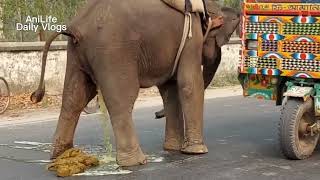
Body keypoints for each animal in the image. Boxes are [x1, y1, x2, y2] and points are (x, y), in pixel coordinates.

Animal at [30, 0, 240, 167]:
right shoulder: (191, 36)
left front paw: (172, 148)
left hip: (76, 53)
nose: (156, 114)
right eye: (224, 39)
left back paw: (61, 155)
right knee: (122, 99)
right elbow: (189, 84)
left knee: (74, 98)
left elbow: (170, 88)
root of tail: (76, 25)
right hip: (113, 51)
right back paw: (135, 162)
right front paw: (196, 151)